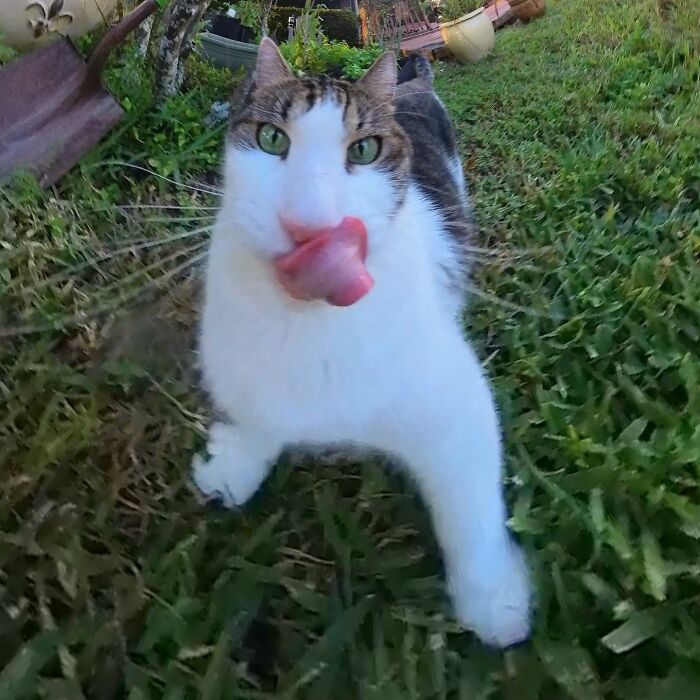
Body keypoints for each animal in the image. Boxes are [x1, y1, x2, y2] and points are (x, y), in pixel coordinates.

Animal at [191, 39, 532, 652]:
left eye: (365, 150)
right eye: (272, 139)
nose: (309, 226)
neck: (308, 325)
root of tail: (413, 83)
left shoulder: (452, 400)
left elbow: (470, 507)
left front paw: (492, 597)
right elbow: (256, 412)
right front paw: (235, 463)